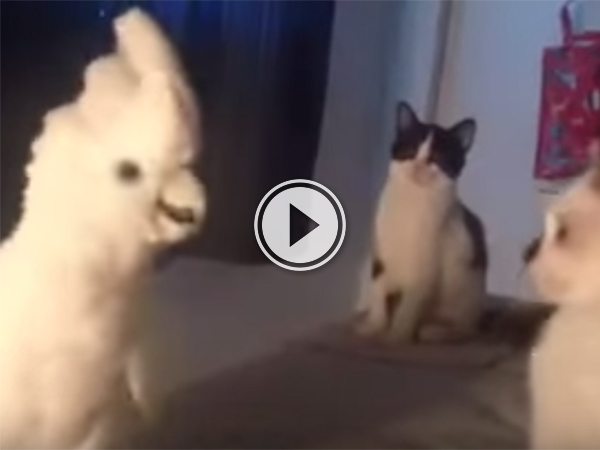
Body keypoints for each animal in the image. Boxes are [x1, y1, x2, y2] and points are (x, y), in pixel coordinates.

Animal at [355, 101, 488, 343]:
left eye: (437, 157)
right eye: (410, 150)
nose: (419, 165)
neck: (413, 202)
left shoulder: (425, 268)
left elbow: (409, 306)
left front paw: (396, 336)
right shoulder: (381, 254)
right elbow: (377, 291)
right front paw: (375, 326)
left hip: (467, 292)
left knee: (465, 329)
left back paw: (434, 331)